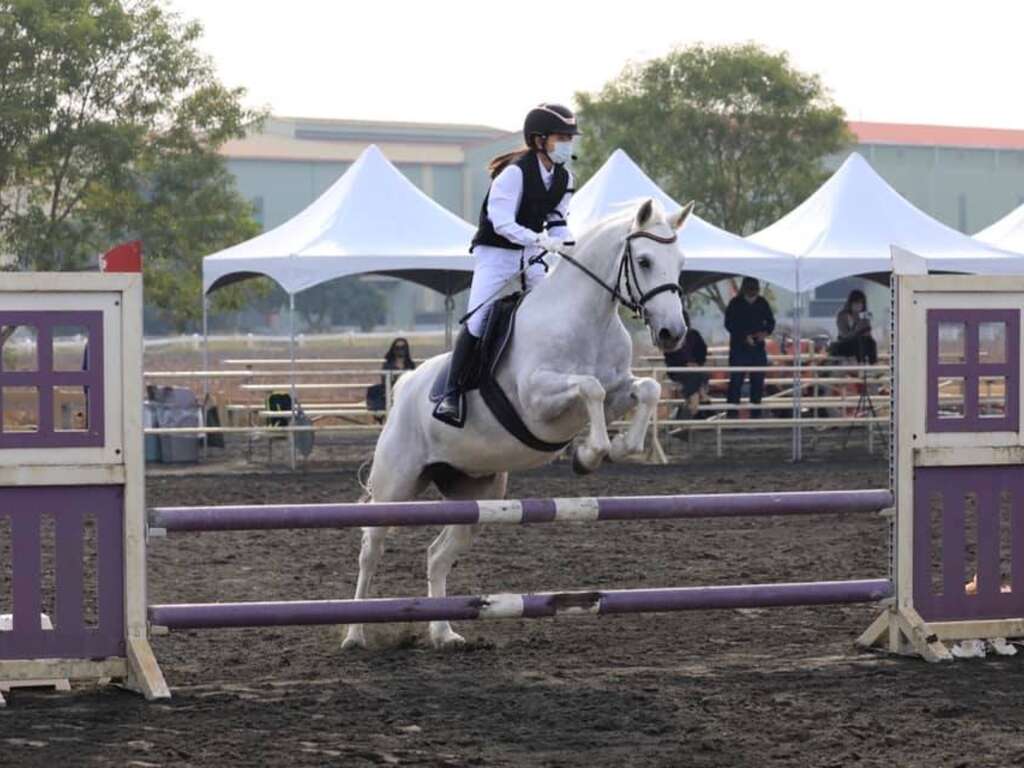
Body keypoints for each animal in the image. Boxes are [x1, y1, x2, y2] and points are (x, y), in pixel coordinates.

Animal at [342, 198, 693, 649]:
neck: (588, 320)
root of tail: (404, 386)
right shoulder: (537, 399)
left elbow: (646, 389)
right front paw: (589, 455)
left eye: (681, 262)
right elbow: (591, 388)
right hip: (396, 486)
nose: (672, 333)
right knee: (371, 549)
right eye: (645, 261)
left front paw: (616, 449)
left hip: (475, 495)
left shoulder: (620, 389)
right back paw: (354, 634)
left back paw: (444, 633)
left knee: (437, 556)